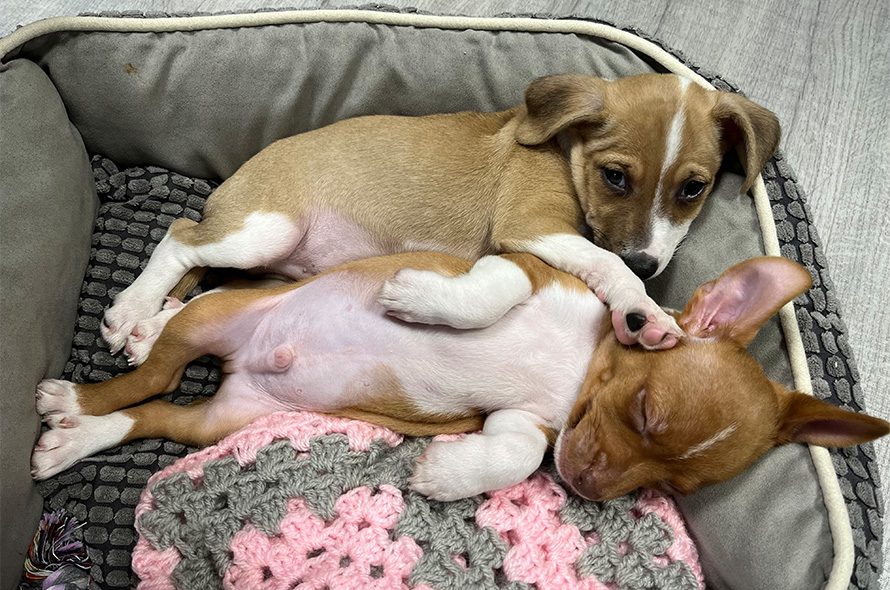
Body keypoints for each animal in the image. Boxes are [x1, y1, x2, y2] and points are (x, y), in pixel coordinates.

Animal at [31, 252, 884, 502]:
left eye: (667, 487)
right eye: (644, 410)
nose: (585, 488)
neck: (575, 374)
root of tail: (243, 361)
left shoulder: (524, 425)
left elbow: (517, 452)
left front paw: (446, 474)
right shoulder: (520, 266)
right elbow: (490, 291)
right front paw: (418, 299)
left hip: (224, 419)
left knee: (149, 410)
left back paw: (74, 431)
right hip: (210, 321)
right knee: (143, 379)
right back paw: (73, 396)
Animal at [97, 74, 776, 360]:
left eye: (694, 189)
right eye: (615, 177)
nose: (649, 260)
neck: (563, 151)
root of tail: (230, 185)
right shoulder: (531, 225)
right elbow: (605, 262)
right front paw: (643, 308)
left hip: (275, 270)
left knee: (209, 297)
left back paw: (150, 331)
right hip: (265, 230)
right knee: (180, 239)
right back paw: (132, 310)